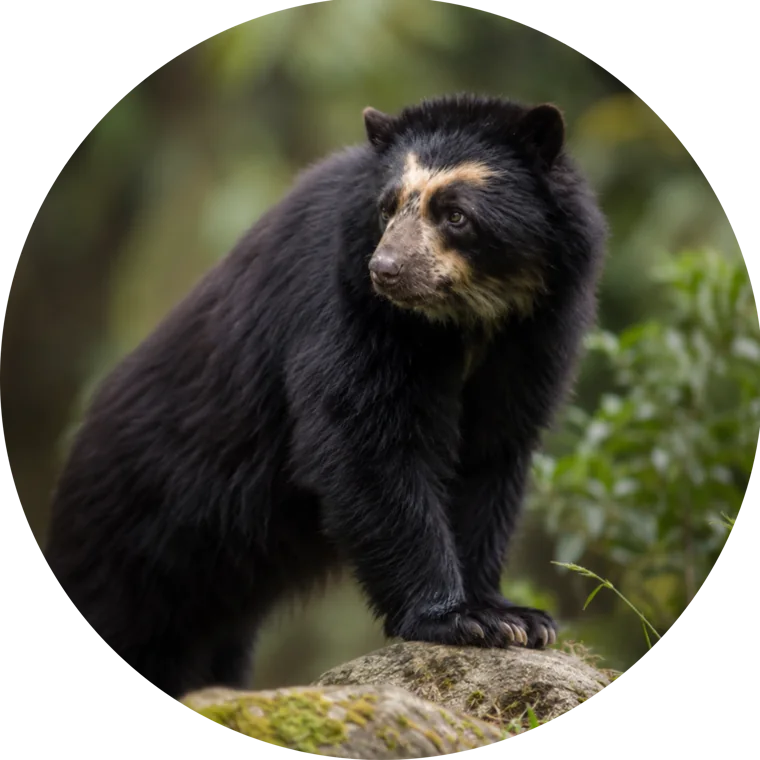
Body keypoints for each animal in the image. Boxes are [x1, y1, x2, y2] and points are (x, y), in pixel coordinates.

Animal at [42, 93, 607, 700]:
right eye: (387, 208)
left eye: (455, 214)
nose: (386, 270)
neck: (464, 319)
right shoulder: (345, 300)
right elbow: (364, 438)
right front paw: (458, 619)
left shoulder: (534, 334)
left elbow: (489, 457)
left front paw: (516, 618)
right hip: (135, 535)